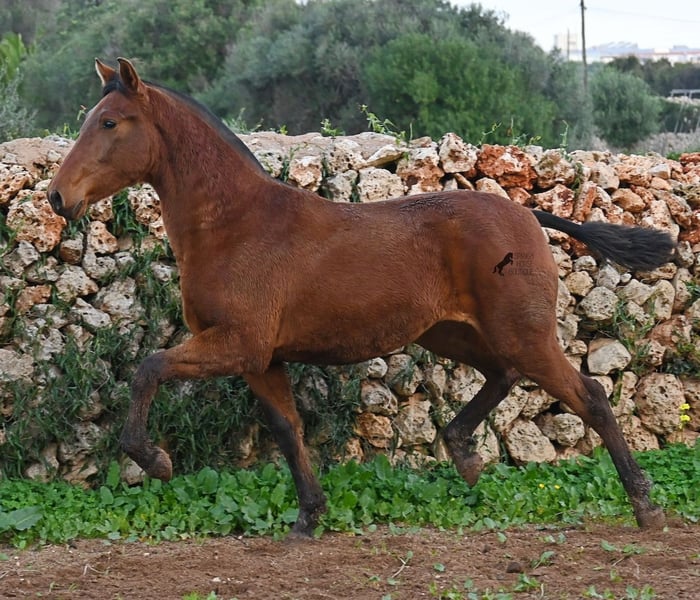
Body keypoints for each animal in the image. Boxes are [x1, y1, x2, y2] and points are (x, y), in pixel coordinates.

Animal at [48, 58, 675, 536]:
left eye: (109, 122)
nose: (57, 197)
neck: (235, 226)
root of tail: (526, 213)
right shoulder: (261, 359)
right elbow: (287, 429)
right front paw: (308, 517)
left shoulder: (237, 344)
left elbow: (148, 369)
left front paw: (154, 459)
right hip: (452, 333)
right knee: (503, 376)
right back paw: (465, 454)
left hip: (522, 332)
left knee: (590, 396)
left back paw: (644, 507)